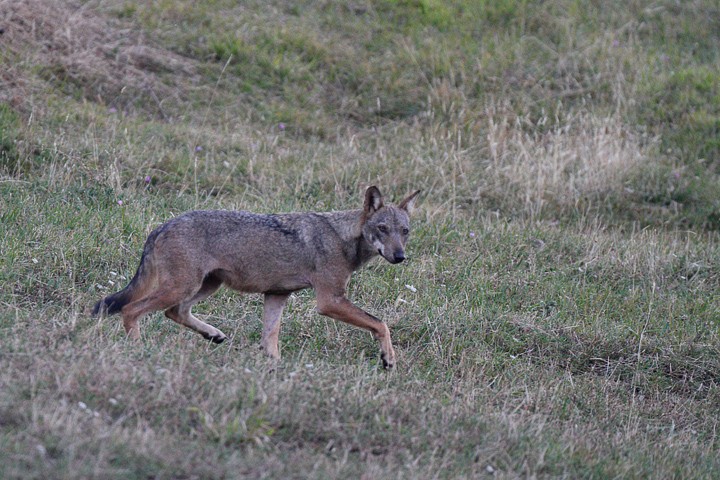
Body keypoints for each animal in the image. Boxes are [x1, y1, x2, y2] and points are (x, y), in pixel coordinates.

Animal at [92, 186, 420, 370]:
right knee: (131, 309)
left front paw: (274, 368)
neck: (343, 238)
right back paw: (138, 349)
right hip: (183, 287)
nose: (400, 256)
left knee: (174, 312)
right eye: (382, 229)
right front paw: (389, 359)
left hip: (205, 286)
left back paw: (213, 334)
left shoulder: (276, 295)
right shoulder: (330, 301)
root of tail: (161, 226)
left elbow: (270, 340)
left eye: (404, 231)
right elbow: (380, 323)